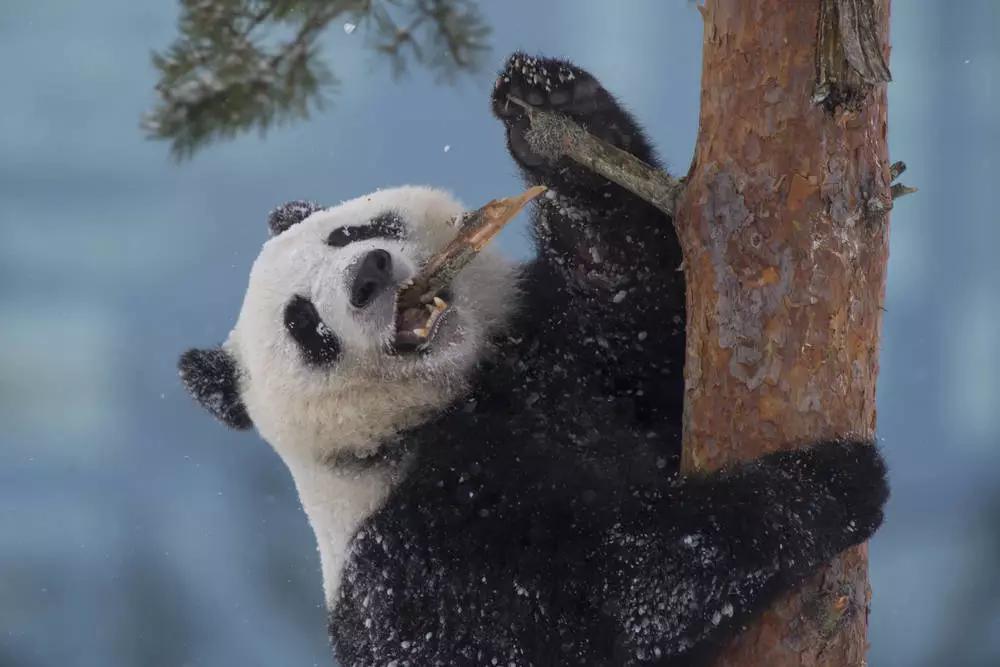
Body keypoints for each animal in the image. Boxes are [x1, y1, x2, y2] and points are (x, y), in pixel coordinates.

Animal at [180, 56, 892, 667]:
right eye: (305, 326)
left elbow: (648, 305)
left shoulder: (561, 346)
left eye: (351, 232)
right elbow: (616, 595)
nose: (369, 274)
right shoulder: (419, 558)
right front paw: (831, 483)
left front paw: (550, 111)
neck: (460, 394)